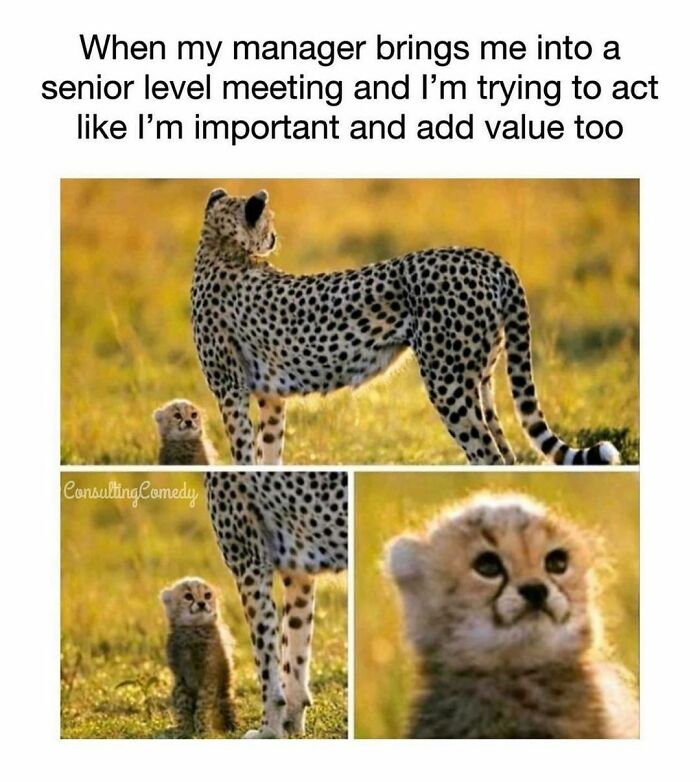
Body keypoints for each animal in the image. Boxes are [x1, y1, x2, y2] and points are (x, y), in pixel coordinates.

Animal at [191, 187, 620, 466]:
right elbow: (267, 454)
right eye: (270, 222)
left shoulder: (231, 390)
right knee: (506, 451)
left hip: (447, 380)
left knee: (487, 453)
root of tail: (487, 255)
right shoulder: (269, 395)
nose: (275, 236)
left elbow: (245, 454)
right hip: (482, 378)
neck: (218, 248)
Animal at [204, 470, 347, 738]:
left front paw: (269, 730)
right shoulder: (299, 571)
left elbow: (266, 662)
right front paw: (290, 724)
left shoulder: (250, 566)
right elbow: (294, 650)